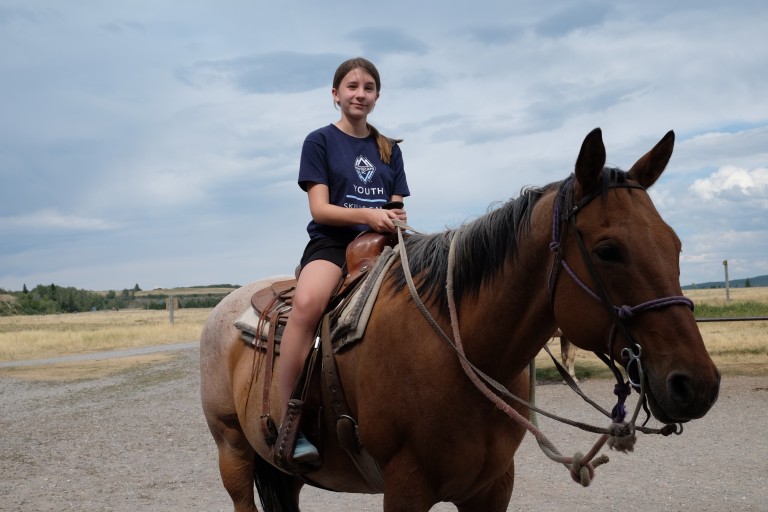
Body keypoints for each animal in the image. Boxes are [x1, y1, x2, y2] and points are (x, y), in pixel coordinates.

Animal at [198, 129, 720, 512]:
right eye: (608, 250)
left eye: (675, 244)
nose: (697, 384)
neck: (457, 348)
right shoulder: (405, 490)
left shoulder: (491, 488)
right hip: (234, 453)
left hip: (282, 474)